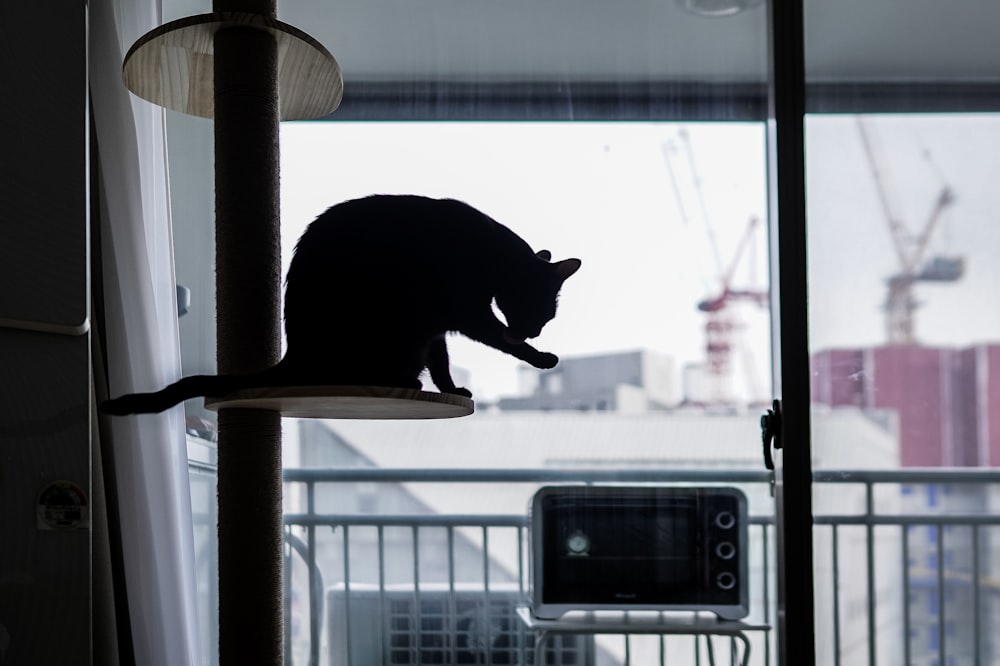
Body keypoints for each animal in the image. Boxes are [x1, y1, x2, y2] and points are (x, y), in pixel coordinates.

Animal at [102, 192, 584, 412]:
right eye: (544, 313)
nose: (535, 330)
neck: (490, 255)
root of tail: (295, 354)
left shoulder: (435, 324)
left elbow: (443, 360)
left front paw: (451, 390)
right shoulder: (465, 311)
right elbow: (499, 339)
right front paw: (540, 357)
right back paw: (404, 382)